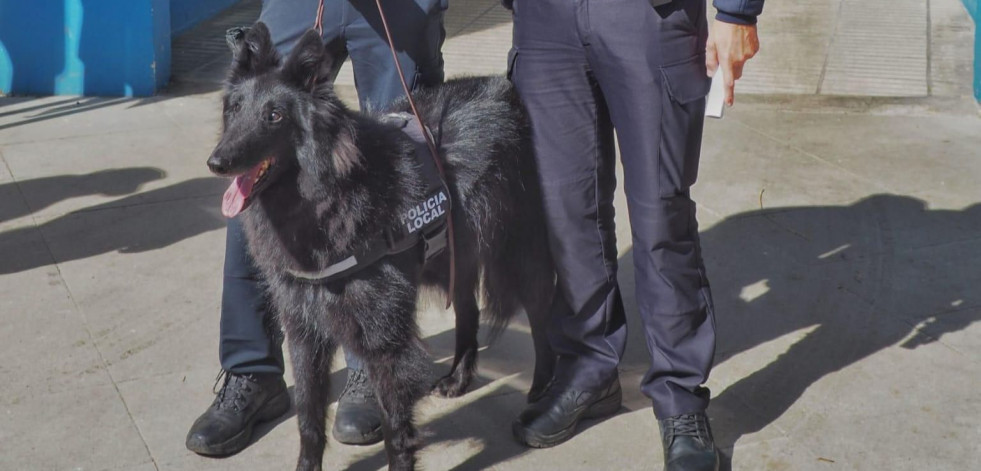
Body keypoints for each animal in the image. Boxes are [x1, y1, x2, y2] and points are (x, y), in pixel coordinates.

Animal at [206, 24, 556, 471]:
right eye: (234, 109)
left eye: (274, 116)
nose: (217, 163)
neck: (327, 194)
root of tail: (508, 89)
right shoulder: (304, 332)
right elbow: (308, 420)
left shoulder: (384, 338)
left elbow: (395, 429)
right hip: (457, 254)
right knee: (469, 310)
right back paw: (459, 377)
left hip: (518, 252)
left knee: (542, 315)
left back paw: (543, 388)